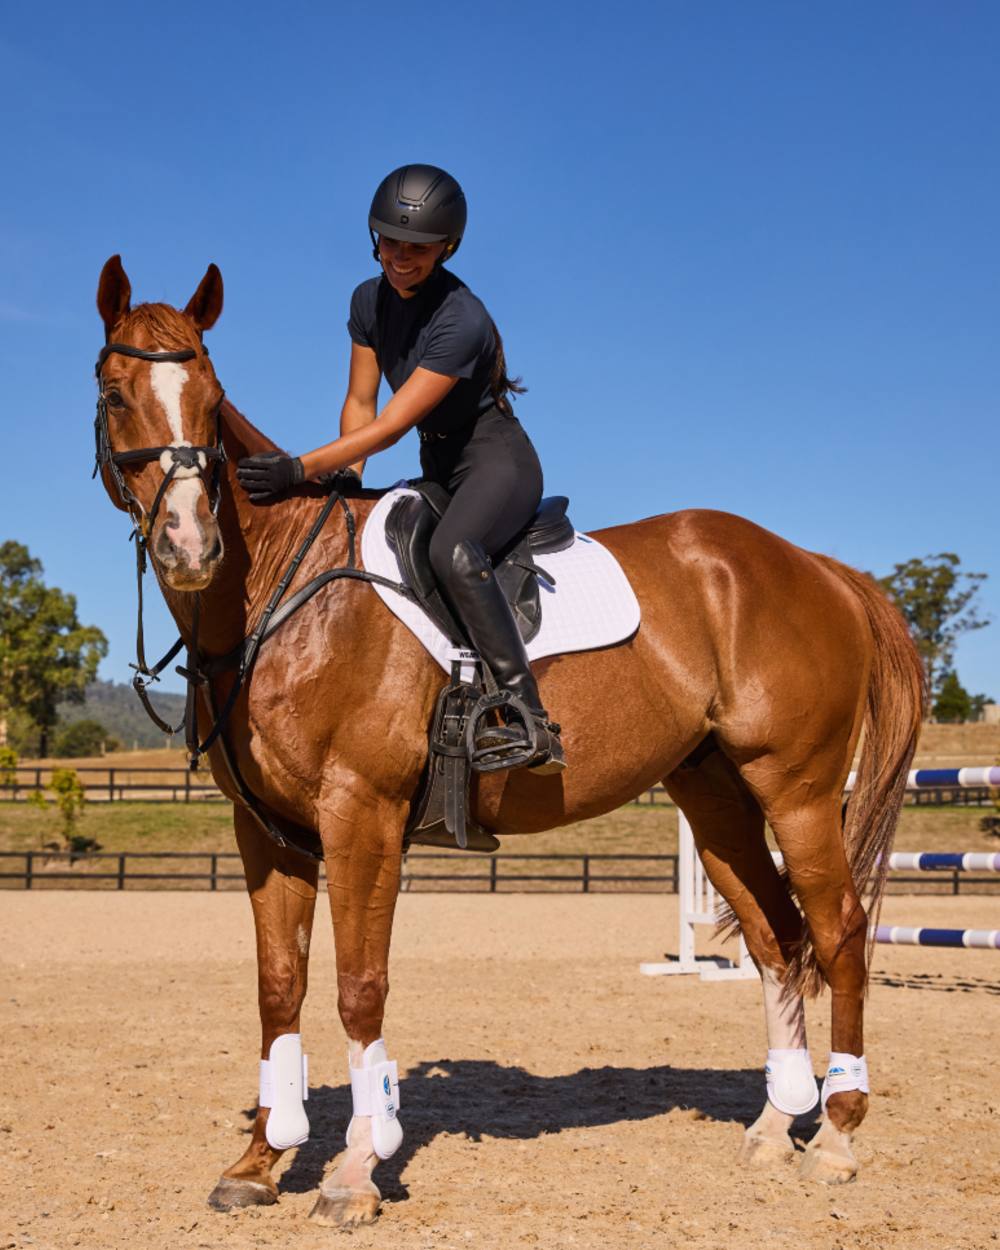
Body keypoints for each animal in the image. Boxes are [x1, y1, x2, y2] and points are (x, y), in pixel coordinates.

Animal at [93, 254, 924, 1228]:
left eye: (212, 397)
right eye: (115, 395)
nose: (191, 546)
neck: (279, 593)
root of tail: (816, 566)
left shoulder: (361, 815)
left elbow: (358, 986)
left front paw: (354, 1169)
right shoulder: (268, 832)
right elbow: (277, 988)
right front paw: (260, 1161)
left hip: (795, 790)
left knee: (838, 931)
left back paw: (834, 1135)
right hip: (716, 795)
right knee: (775, 937)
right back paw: (770, 1127)